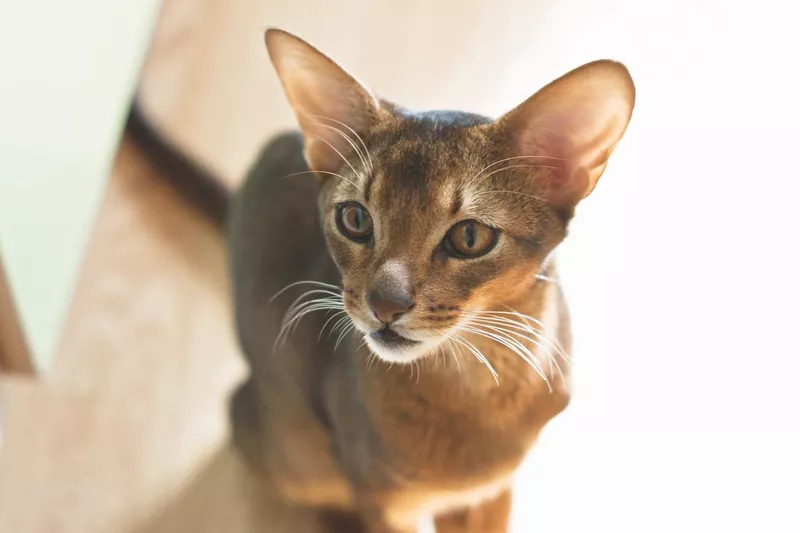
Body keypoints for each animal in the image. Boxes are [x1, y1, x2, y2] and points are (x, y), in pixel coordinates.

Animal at [128, 28, 636, 532]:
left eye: (470, 237)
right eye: (354, 219)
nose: (384, 305)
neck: (479, 384)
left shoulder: (493, 492)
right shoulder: (388, 502)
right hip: (297, 452)